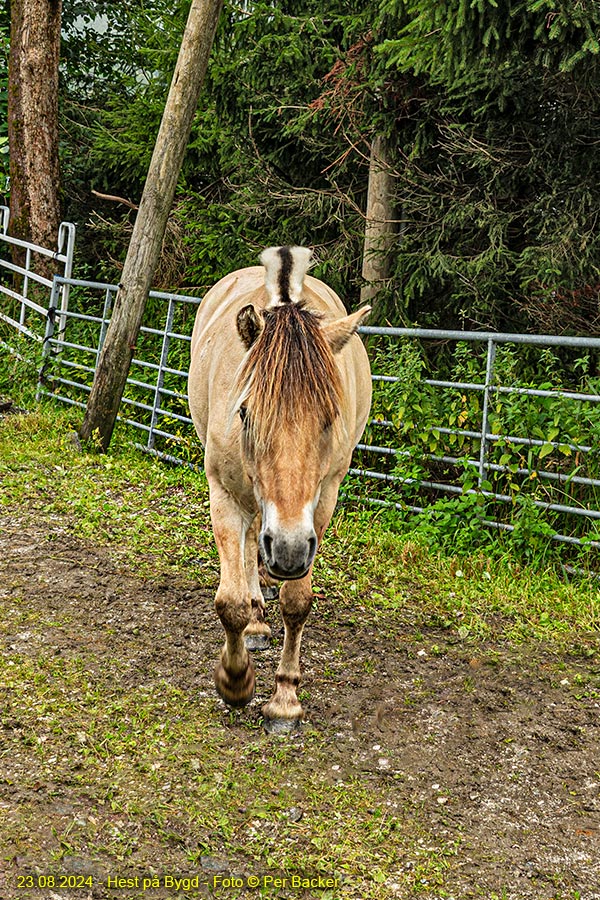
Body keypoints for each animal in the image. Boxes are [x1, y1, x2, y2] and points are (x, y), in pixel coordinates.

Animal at [190, 246, 372, 732]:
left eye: (330, 416)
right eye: (245, 413)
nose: (288, 551)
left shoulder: (321, 504)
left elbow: (297, 602)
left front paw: (285, 700)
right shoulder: (224, 493)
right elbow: (230, 602)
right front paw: (235, 681)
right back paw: (255, 623)